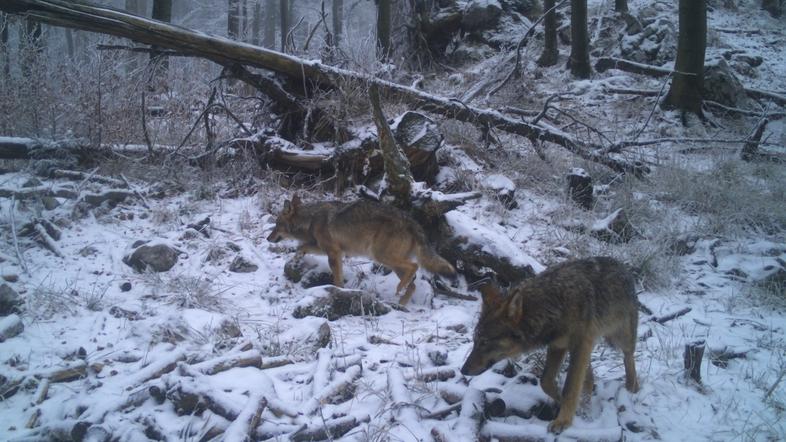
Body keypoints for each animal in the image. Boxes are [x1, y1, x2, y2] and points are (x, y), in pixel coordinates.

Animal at [264, 195, 454, 306]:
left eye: (276, 225)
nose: (267, 238)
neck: (311, 219)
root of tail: (412, 221)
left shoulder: (333, 252)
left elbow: (337, 278)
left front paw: (338, 291)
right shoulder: (327, 249)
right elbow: (300, 247)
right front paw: (296, 259)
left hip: (381, 256)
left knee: (414, 267)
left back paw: (399, 292)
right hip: (391, 263)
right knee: (412, 283)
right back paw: (400, 302)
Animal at [460, 258, 636, 434]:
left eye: (484, 342)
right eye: (475, 340)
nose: (463, 370)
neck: (554, 304)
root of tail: (622, 265)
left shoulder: (580, 344)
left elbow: (570, 387)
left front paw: (563, 420)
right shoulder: (558, 346)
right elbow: (546, 381)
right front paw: (563, 401)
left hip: (619, 337)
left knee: (628, 356)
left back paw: (632, 386)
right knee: (589, 376)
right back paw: (586, 401)